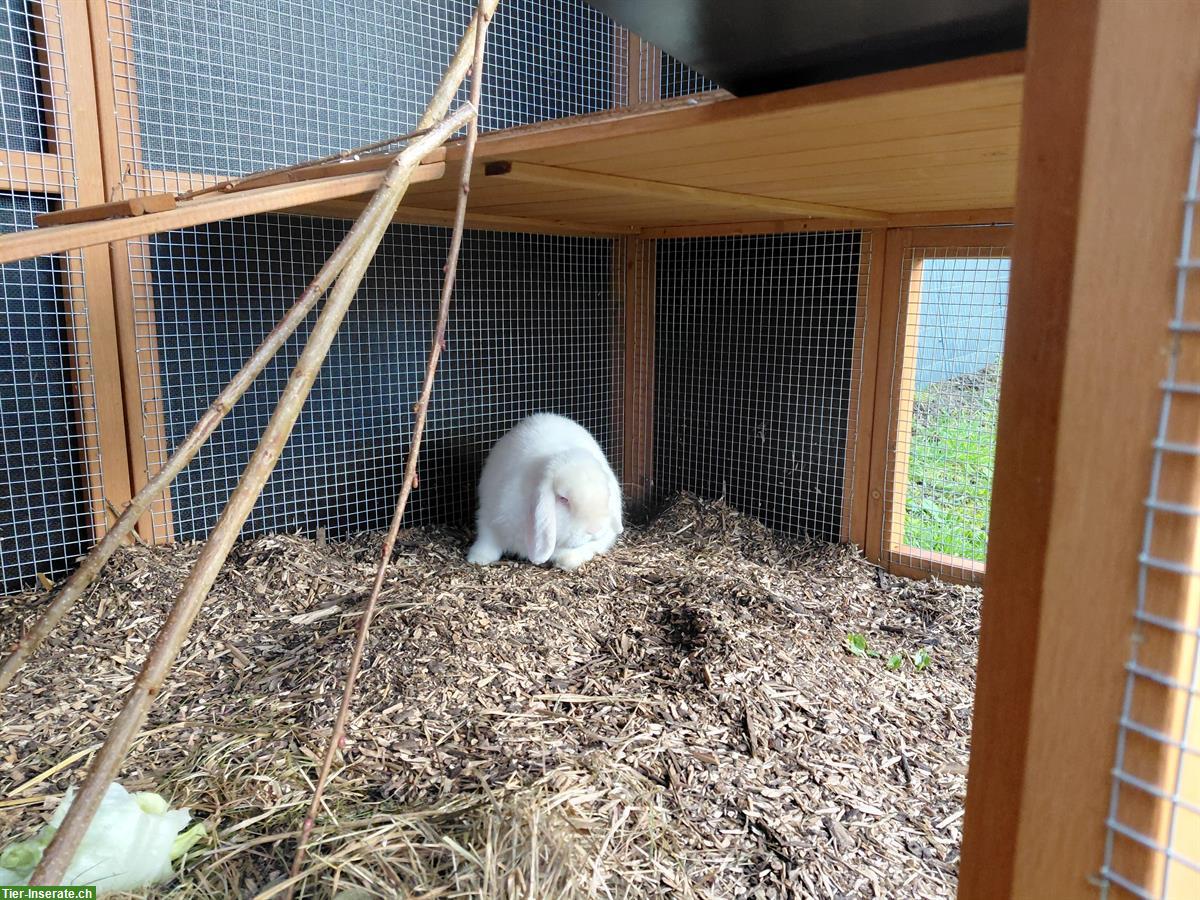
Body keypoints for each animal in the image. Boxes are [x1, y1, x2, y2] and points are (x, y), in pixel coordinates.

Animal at [467, 413, 624, 571]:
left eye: (606, 494)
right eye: (563, 499)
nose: (595, 529)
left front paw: (567, 561)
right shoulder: (489, 518)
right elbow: (487, 541)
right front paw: (476, 559)